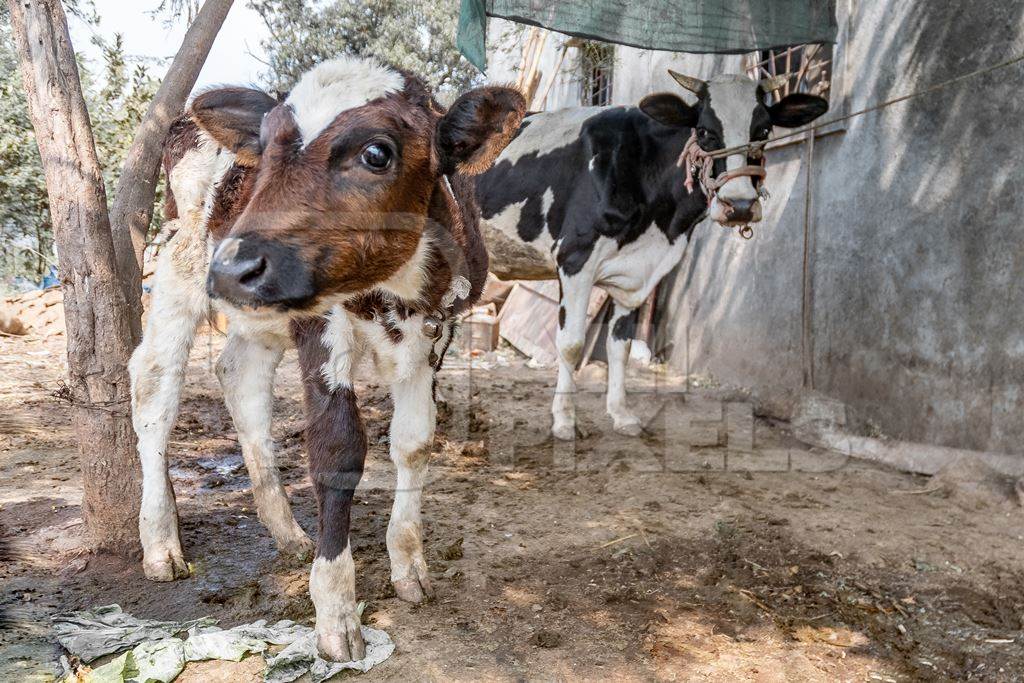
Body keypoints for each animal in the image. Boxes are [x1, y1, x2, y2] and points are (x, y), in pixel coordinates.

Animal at [128, 57, 524, 663]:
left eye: (377, 153)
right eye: (265, 148)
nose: (234, 266)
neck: (399, 292)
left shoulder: (435, 338)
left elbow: (415, 443)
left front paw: (409, 565)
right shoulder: (321, 324)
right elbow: (337, 449)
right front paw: (336, 609)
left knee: (239, 379)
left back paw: (288, 534)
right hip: (179, 264)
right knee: (154, 387)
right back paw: (161, 542)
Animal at [475, 72, 827, 440]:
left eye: (763, 131)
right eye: (705, 131)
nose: (741, 205)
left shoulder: (638, 273)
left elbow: (621, 346)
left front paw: (621, 414)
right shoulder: (575, 258)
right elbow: (571, 344)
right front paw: (564, 421)